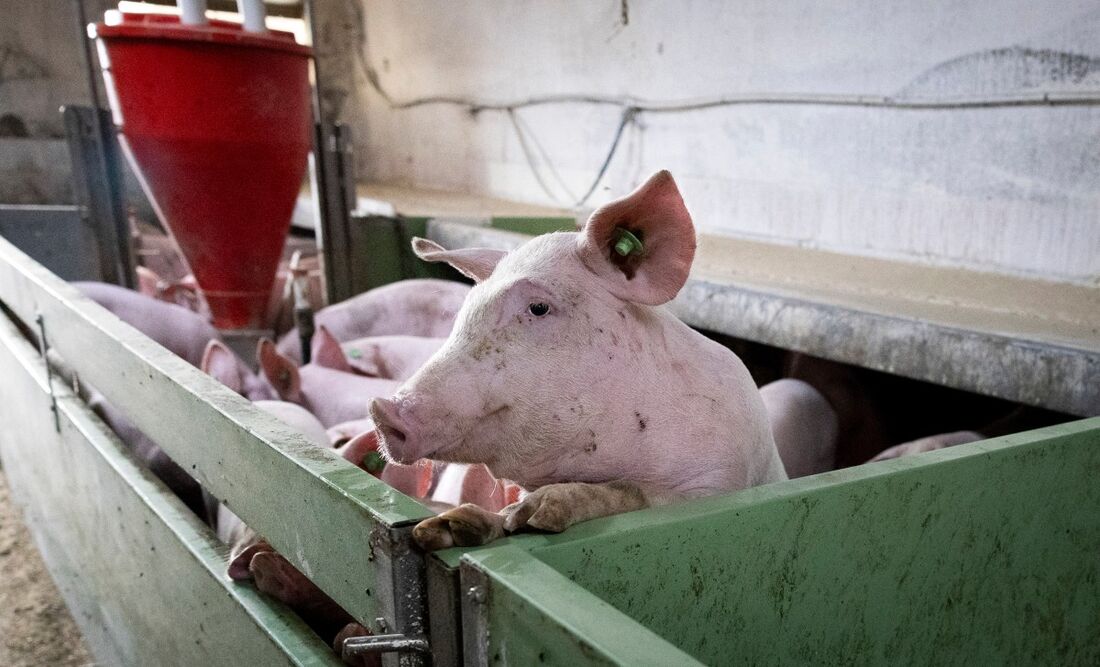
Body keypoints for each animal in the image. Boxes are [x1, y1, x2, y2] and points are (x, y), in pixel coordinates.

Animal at [370, 171, 787, 551]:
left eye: (538, 308)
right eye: (466, 308)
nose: (382, 408)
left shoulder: (720, 481)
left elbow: (635, 493)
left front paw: (535, 513)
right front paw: (443, 528)